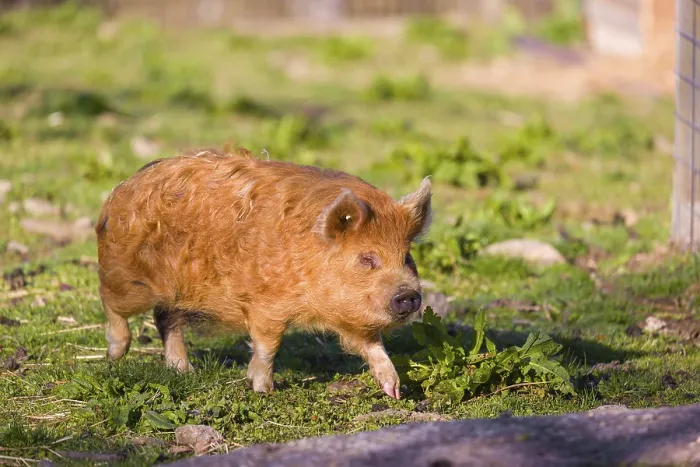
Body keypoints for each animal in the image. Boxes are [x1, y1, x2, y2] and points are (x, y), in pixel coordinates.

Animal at [95, 146, 432, 399]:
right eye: (367, 258)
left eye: (406, 257)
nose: (409, 295)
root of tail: (123, 187)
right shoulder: (265, 305)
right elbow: (268, 346)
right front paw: (264, 390)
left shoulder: (349, 315)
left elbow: (373, 346)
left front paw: (394, 391)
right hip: (127, 277)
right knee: (111, 303)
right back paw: (114, 355)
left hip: (176, 292)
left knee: (165, 319)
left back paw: (184, 371)